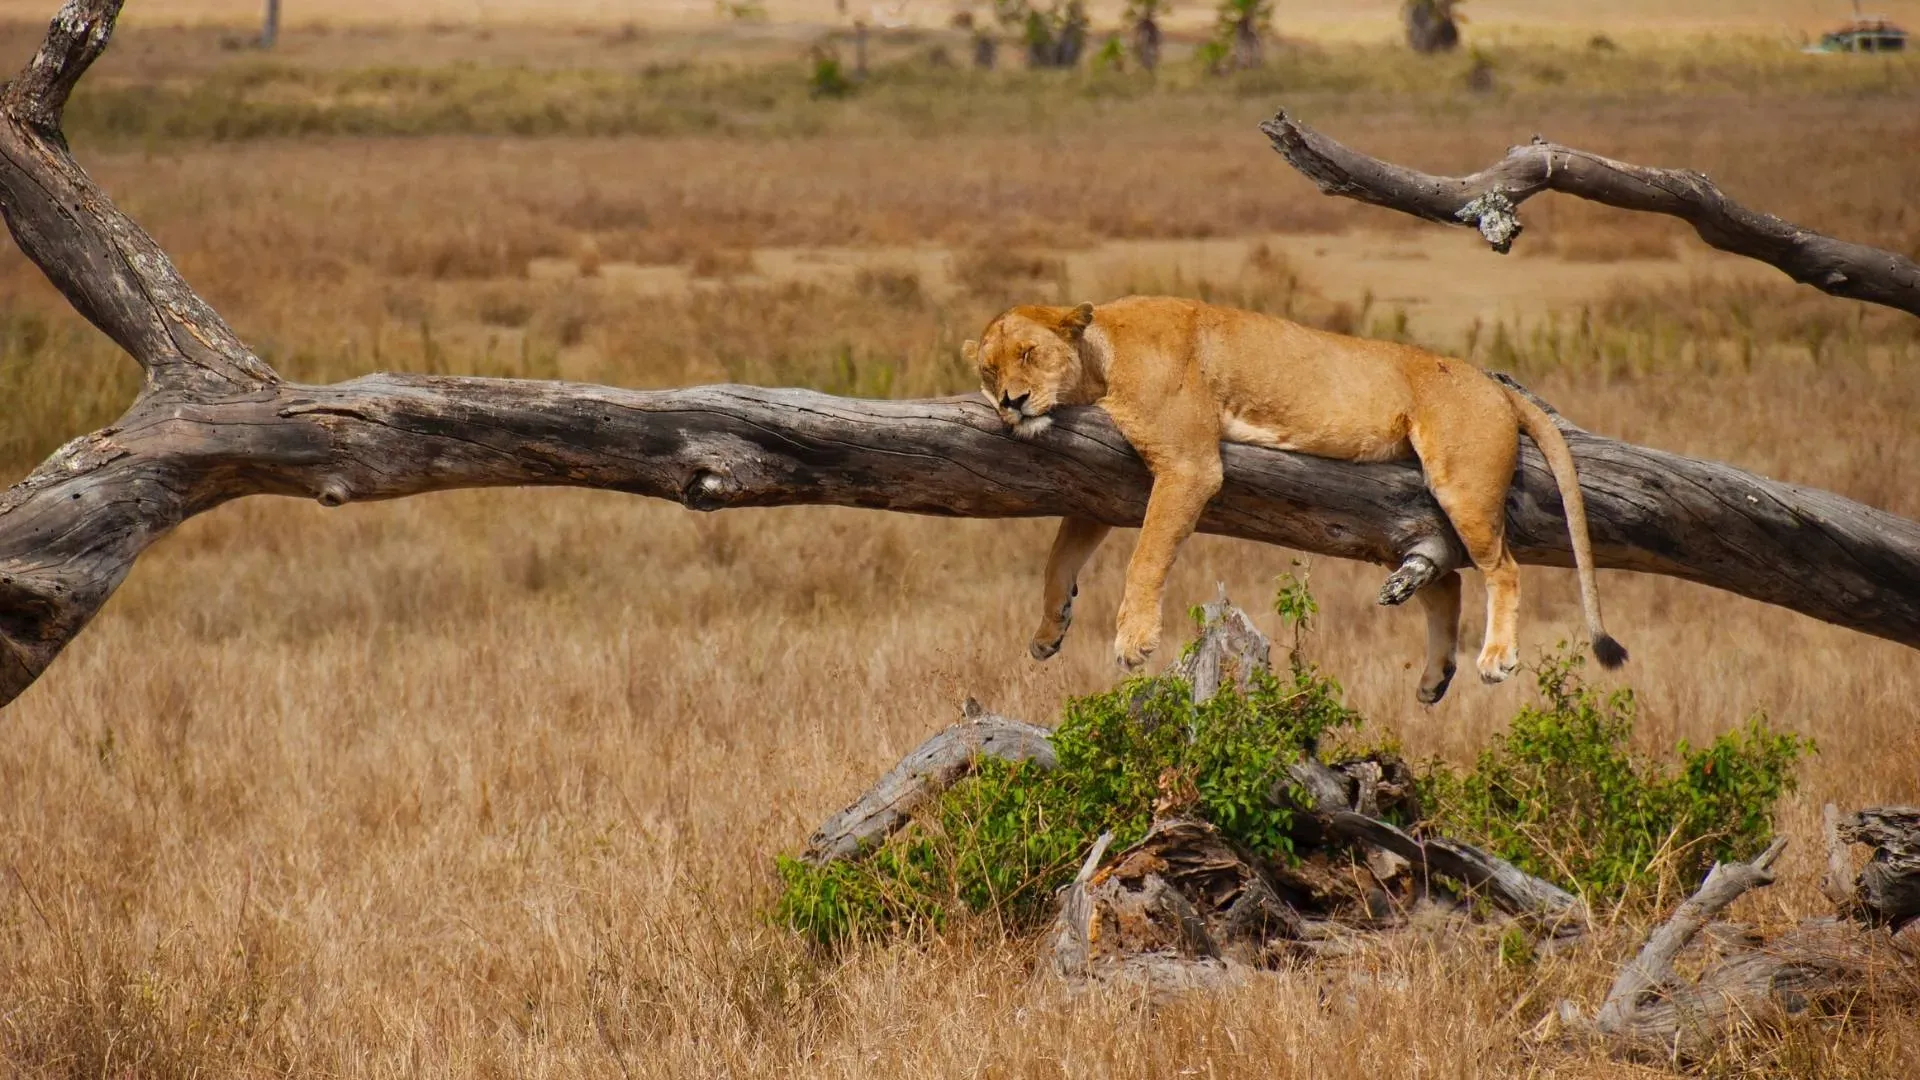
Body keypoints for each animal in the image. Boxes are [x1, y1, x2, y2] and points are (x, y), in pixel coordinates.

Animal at [962, 295, 1626, 703]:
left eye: (1029, 355)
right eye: (989, 371)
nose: (1011, 403)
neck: (1098, 363)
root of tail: (1490, 380)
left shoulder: (1190, 464)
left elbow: (1146, 556)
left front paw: (1133, 640)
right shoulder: (1101, 485)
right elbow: (1058, 559)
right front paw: (1049, 630)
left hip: (1462, 483)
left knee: (1502, 568)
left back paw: (1496, 657)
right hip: (1416, 505)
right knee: (1449, 578)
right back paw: (1436, 677)